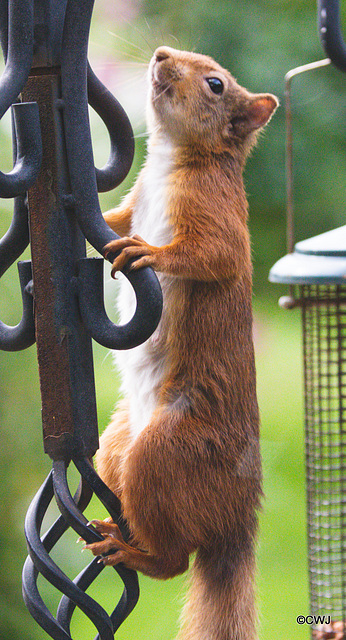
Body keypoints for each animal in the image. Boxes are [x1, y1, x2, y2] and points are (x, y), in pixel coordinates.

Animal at [84, 46, 278, 640]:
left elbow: (208, 256)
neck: (172, 161)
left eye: (216, 84)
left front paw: (149, 253)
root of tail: (235, 521)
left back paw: (135, 555)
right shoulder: (131, 202)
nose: (161, 53)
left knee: (173, 562)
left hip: (164, 455)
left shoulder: (218, 219)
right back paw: (113, 529)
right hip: (116, 447)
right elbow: (109, 220)